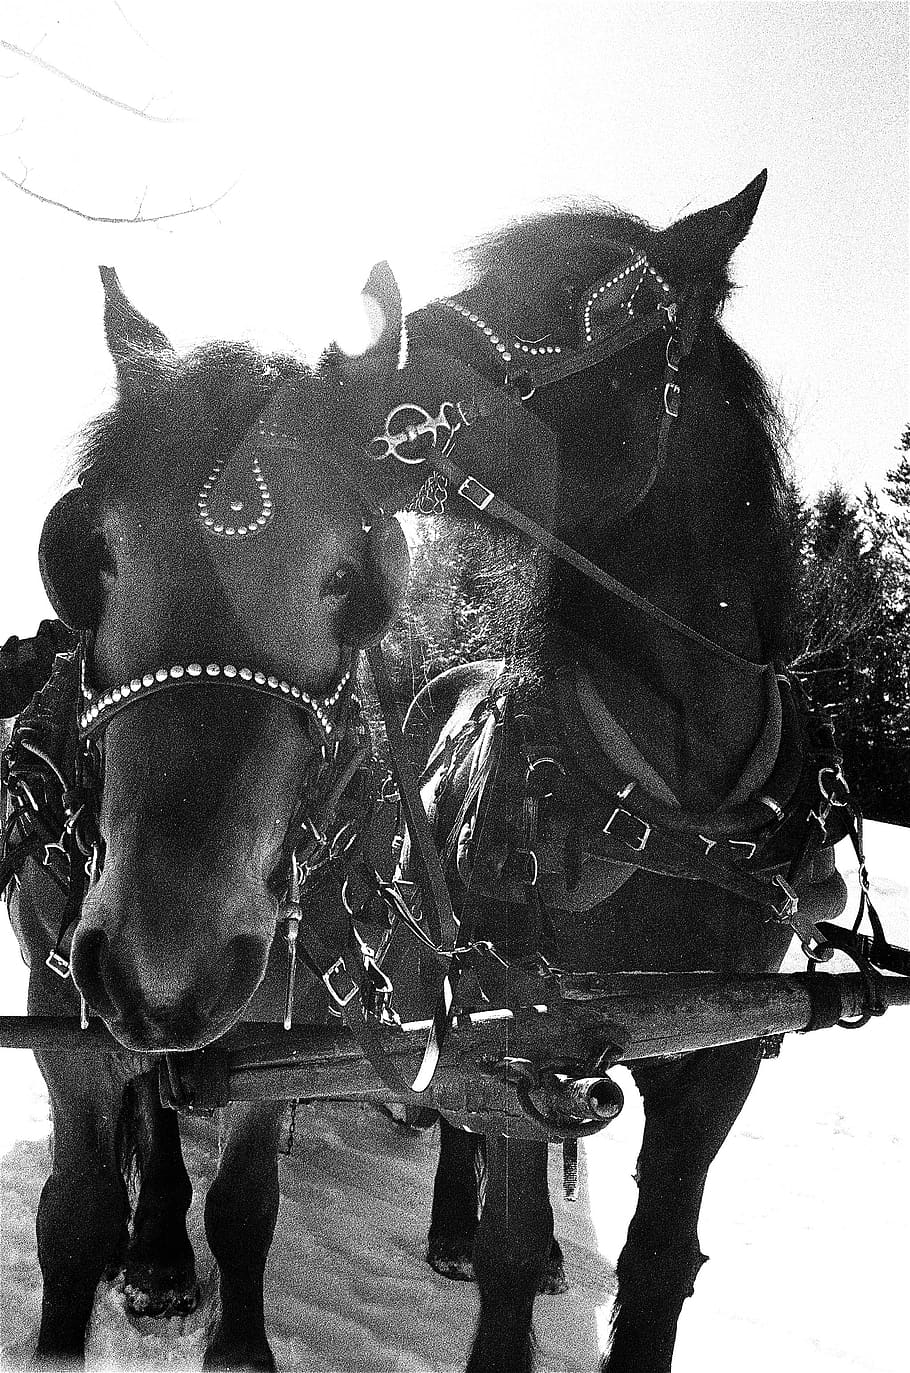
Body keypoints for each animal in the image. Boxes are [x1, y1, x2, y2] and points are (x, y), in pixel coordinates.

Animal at [351, 170, 851, 1372]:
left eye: (589, 299)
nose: (356, 367)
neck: (677, 802)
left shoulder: (719, 1053)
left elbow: (662, 1257)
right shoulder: (522, 1023)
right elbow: (506, 1226)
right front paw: (493, 1261)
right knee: (467, 1118)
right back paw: (453, 1223)